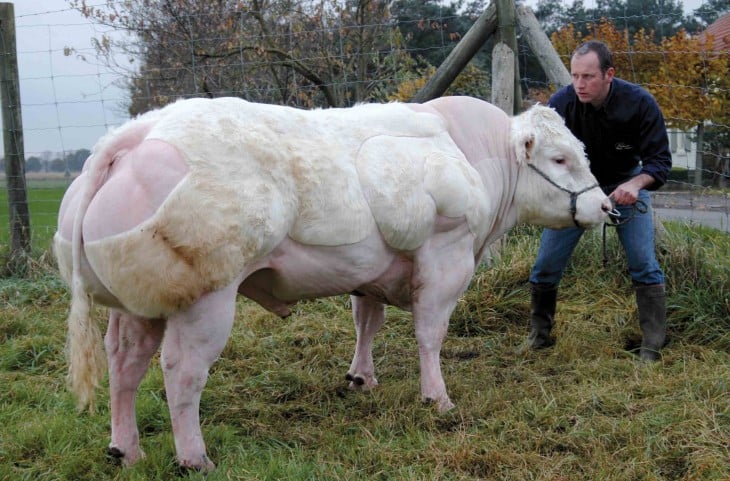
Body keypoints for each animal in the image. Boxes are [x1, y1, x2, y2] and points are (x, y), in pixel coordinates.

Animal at [52, 94, 608, 468]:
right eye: (560, 159)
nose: (605, 206)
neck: (470, 153)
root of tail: (134, 134)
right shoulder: (445, 257)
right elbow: (430, 335)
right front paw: (438, 398)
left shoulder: (371, 271)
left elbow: (367, 322)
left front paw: (362, 378)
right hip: (205, 299)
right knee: (182, 373)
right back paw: (194, 458)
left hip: (138, 301)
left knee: (124, 365)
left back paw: (126, 449)